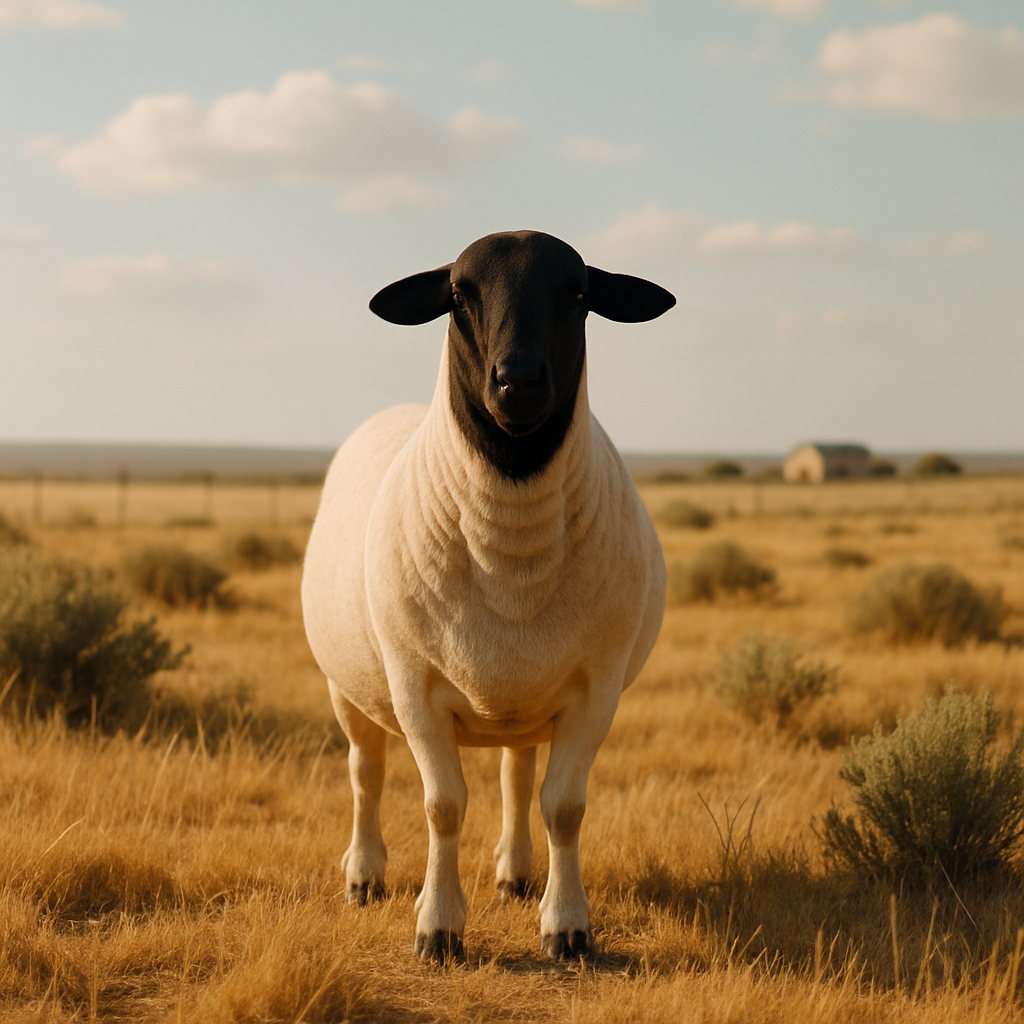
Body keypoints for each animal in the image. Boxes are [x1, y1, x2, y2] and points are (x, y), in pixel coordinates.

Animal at [301, 230, 675, 962]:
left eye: (578, 294)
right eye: (457, 295)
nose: (519, 381)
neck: (511, 561)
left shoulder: (597, 688)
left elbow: (564, 807)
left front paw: (567, 928)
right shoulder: (414, 686)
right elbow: (442, 806)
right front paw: (438, 927)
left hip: (525, 699)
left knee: (517, 777)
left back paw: (515, 873)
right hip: (346, 687)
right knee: (365, 774)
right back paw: (364, 874)